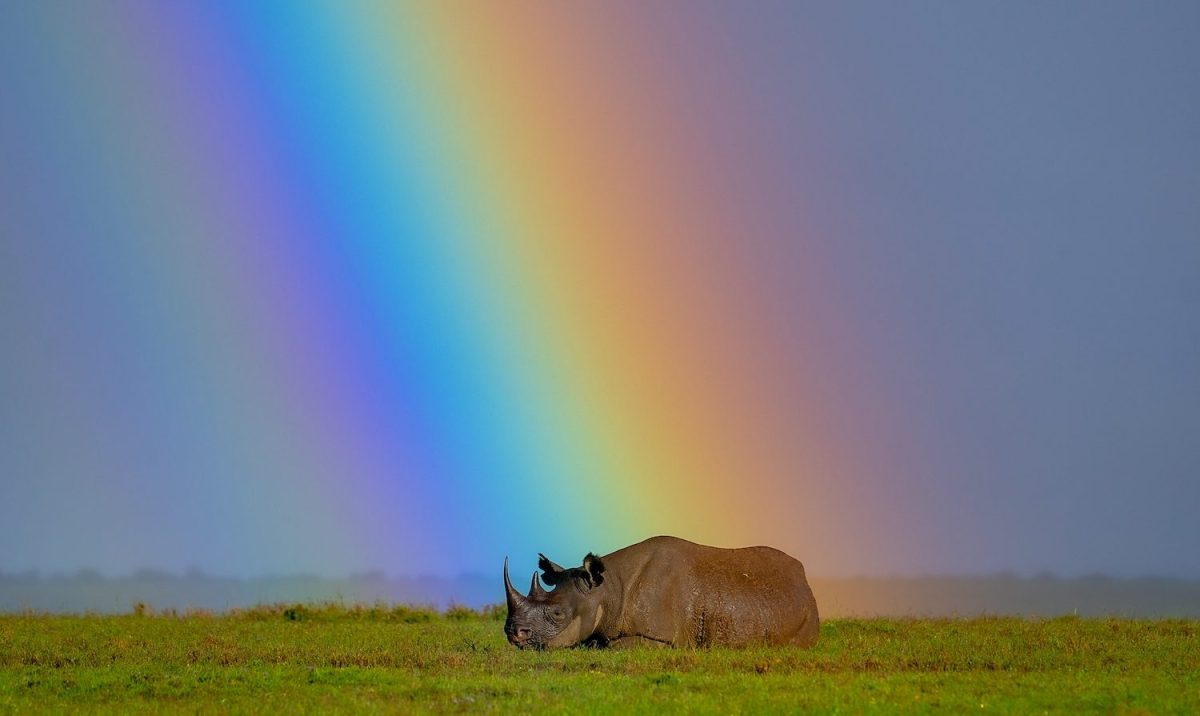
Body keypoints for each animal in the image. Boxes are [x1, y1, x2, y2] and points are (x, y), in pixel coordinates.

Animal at [503, 535, 819, 649]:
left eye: (558, 614)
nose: (513, 634)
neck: (608, 589)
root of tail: (803, 578)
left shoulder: (659, 636)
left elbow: (614, 646)